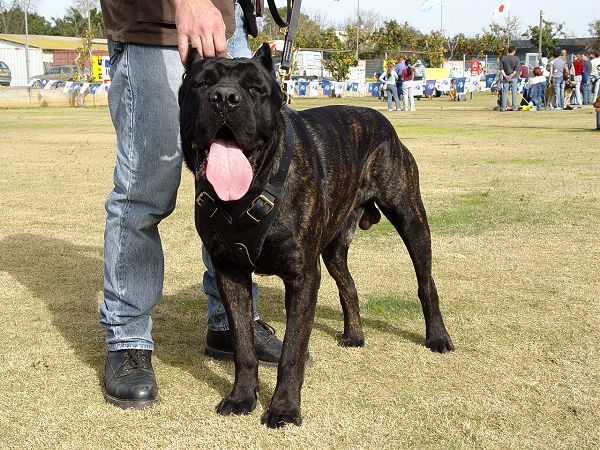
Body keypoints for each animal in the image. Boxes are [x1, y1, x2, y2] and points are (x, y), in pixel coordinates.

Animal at [178, 44, 454, 428]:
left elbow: (292, 350)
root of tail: (382, 121)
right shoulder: (229, 273)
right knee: (348, 285)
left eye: (255, 89)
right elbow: (243, 346)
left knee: (426, 282)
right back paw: (354, 335)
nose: (224, 98)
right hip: (335, 248)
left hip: (411, 218)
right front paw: (241, 397)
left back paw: (438, 337)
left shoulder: (302, 276)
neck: (246, 195)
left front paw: (283, 408)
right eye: (202, 84)